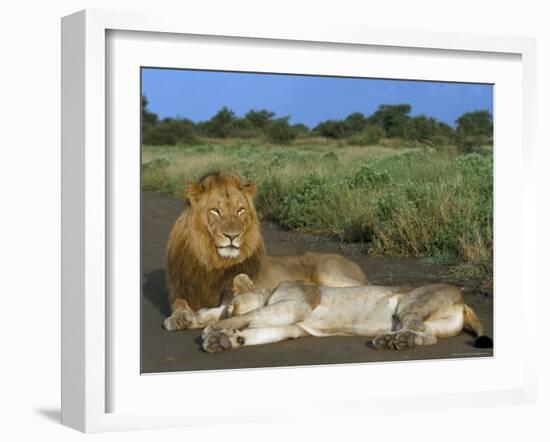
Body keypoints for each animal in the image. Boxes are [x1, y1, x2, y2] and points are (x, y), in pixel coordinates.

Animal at [165, 173, 370, 332]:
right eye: (215, 210)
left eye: (240, 210)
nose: (233, 236)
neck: (213, 261)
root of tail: (354, 264)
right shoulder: (181, 290)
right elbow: (179, 304)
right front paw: (180, 318)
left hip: (331, 275)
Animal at [201, 272, 494, 352]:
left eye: (231, 306)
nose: (223, 315)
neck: (269, 291)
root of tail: (462, 299)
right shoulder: (292, 326)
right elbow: (259, 332)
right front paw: (226, 340)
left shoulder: (292, 306)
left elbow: (249, 317)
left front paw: (212, 331)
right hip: (436, 323)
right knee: (427, 335)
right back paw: (400, 341)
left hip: (411, 302)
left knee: (417, 327)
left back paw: (391, 341)